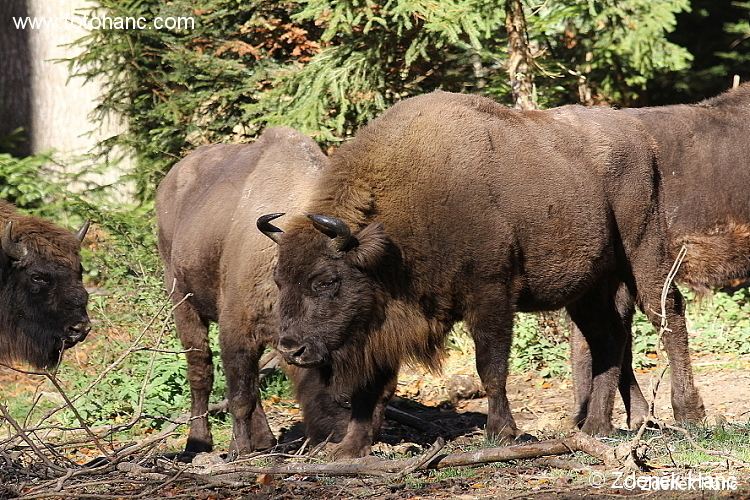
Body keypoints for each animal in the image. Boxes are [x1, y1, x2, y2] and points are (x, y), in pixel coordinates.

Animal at [157, 127, 362, 456]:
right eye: (324, 281)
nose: (335, 438)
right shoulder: (236, 331)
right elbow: (240, 396)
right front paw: (238, 449)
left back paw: (264, 440)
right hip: (183, 303)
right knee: (201, 372)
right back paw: (198, 442)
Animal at [262, 90, 708, 458]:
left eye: (326, 281)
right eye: (279, 280)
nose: (290, 348)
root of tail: (642, 137)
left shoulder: (491, 296)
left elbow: (490, 367)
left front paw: (500, 432)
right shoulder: (384, 323)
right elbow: (373, 387)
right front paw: (348, 448)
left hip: (644, 250)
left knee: (667, 313)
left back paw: (689, 413)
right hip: (589, 288)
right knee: (610, 340)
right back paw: (598, 426)